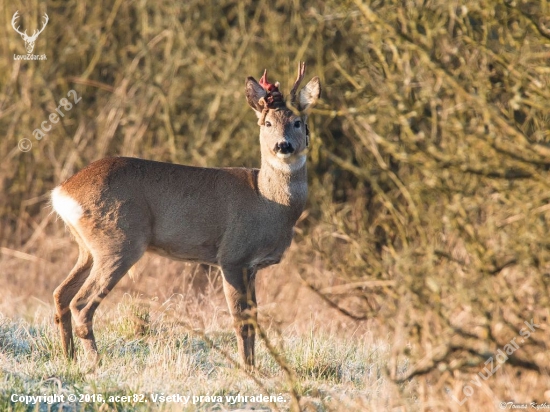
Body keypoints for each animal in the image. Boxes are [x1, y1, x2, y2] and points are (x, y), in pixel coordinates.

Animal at [51, 62, 322, 368]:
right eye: (267, 123)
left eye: (297, 122)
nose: (283, 146)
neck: (268, 202)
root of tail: (61, 192)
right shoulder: (232, 256)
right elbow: (241, 321)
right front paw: (247, 369)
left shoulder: (251, 266)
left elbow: (253, 318)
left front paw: (254, 367)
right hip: (119, 241)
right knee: (81, 303)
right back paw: (95, 362)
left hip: (88, 247)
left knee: (61, 294)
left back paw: (69, 357)